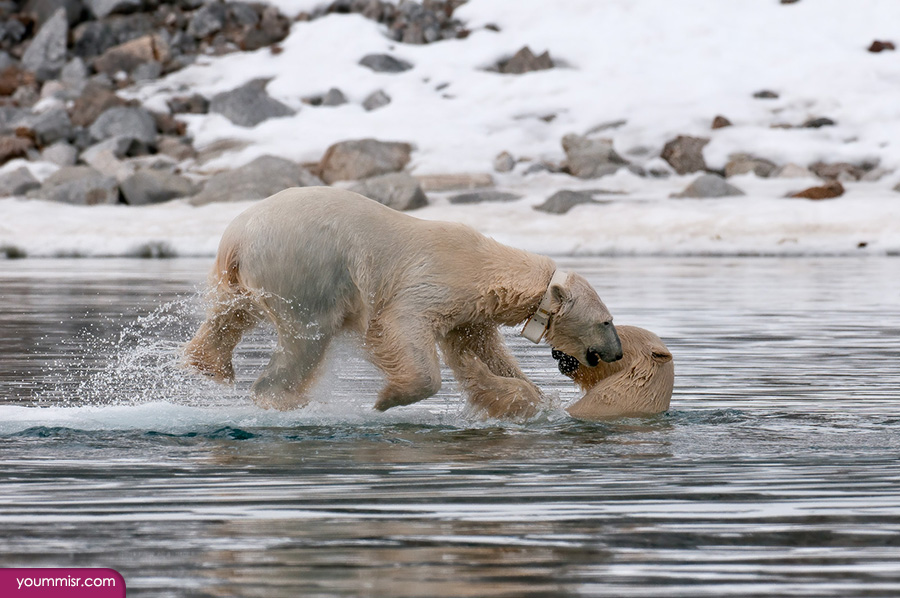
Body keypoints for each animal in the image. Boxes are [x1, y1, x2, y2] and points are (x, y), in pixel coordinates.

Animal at [184, 186, 623, 419]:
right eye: (607, 321)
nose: (617, 353)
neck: (486, 265)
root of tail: (237, 238)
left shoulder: (470, 311)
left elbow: (481, 348)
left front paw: (521, 394)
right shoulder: (435, 280)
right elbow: (402, 325)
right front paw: (387, 398)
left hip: (243, 278)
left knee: (229, 315)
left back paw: (210, 365)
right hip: (304, 267)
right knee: (306, 337)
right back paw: (288, 399)